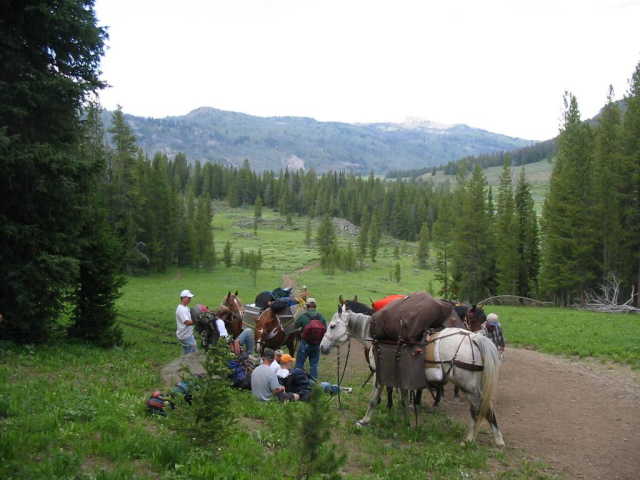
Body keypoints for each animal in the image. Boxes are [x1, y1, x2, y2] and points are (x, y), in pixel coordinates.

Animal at [320, 308, 504, 446]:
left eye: (332, 326)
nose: (322, 347)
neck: (376, 339)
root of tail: (474, 337)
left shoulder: (379, 375)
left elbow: (373, 400)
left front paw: (364, 421)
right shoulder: (401, 378)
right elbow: (403, 400)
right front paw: (407, 423)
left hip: (469, 387)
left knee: (480, 408)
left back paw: (480, 439)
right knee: (480, 408)